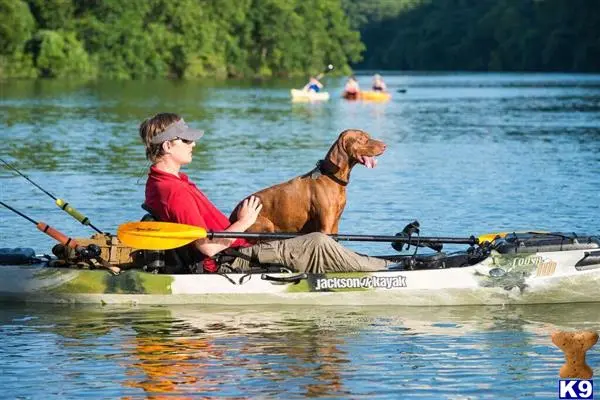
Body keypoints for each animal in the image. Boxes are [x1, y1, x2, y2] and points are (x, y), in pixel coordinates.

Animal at [230, 128, 390, 234]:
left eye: (368, 136)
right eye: (362, 139)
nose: (385, 145)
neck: (332, 177)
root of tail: (232, 214)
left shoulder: (335, 224)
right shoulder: (325, 226)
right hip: (266, 224)